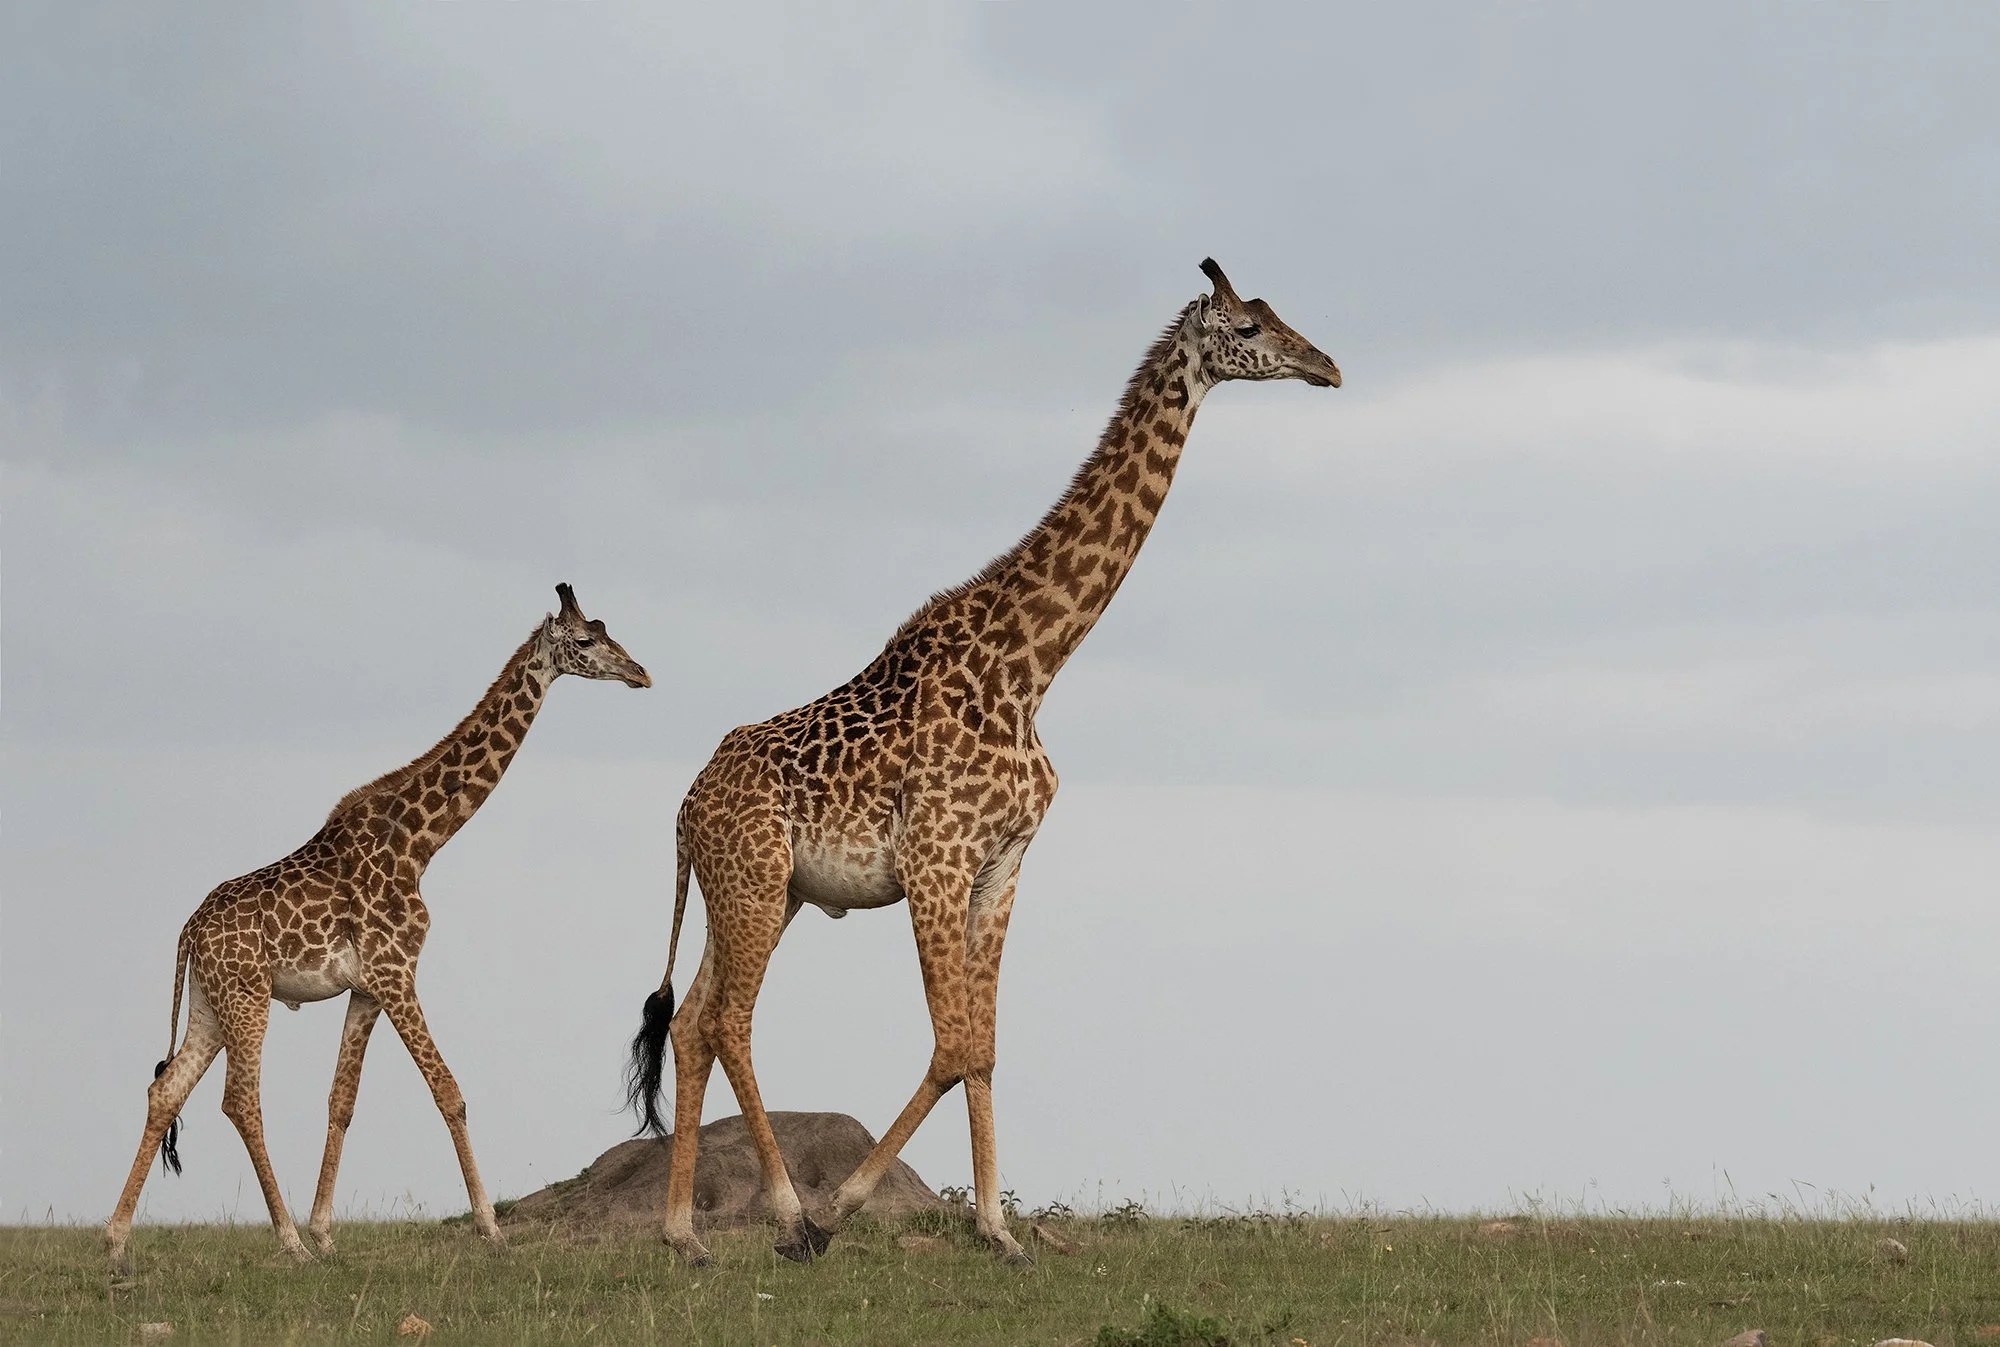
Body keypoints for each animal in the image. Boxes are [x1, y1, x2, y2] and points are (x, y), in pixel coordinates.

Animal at [105, 584, 651, 1276]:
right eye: (585, 640)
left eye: (608, 630)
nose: (641, 673)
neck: (420, 842)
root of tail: (187, 932)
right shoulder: (397, 972)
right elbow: (449, 1091)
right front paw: (491, 1229)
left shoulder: (366, 987)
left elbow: (342, 1100)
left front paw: (326, 1233)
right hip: (248, 996)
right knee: (240, 1100)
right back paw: (284, 1242)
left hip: (209, 1003)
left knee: (166, 1091)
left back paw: (117, 1240)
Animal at [624, 258, 1340, 1265]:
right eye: (1248, 326)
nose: (1328, 367)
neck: (1030, 666)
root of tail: (683, 811)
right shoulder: (936, 860)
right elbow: (954, 1044)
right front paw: (842, 1211)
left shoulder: (1001, 865)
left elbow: (986, 1046)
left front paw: (999, 1230)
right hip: (754, 885)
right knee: (729, 1020)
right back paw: (787, 1213)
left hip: (767, 890)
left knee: (692, 1023)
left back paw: (685, 1233)